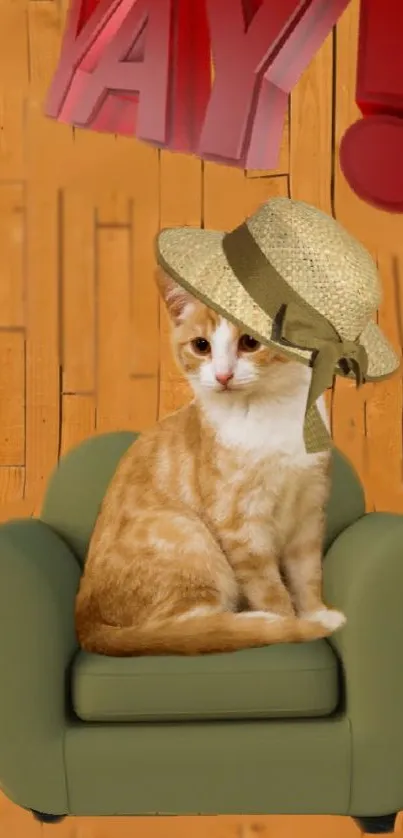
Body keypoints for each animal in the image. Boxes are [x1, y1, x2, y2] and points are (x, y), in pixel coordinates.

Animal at [76, 270, 348, 656]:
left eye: (250, 342)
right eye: (201, 346)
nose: (222, 376)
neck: (269, 412)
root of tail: (85, 623)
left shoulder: (308, 510)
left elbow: (307, 573)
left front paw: (315, 611)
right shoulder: (240, 524)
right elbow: (269, 588)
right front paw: (289, 623)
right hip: (184, 532)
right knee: (188, 630)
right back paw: (249, 621)